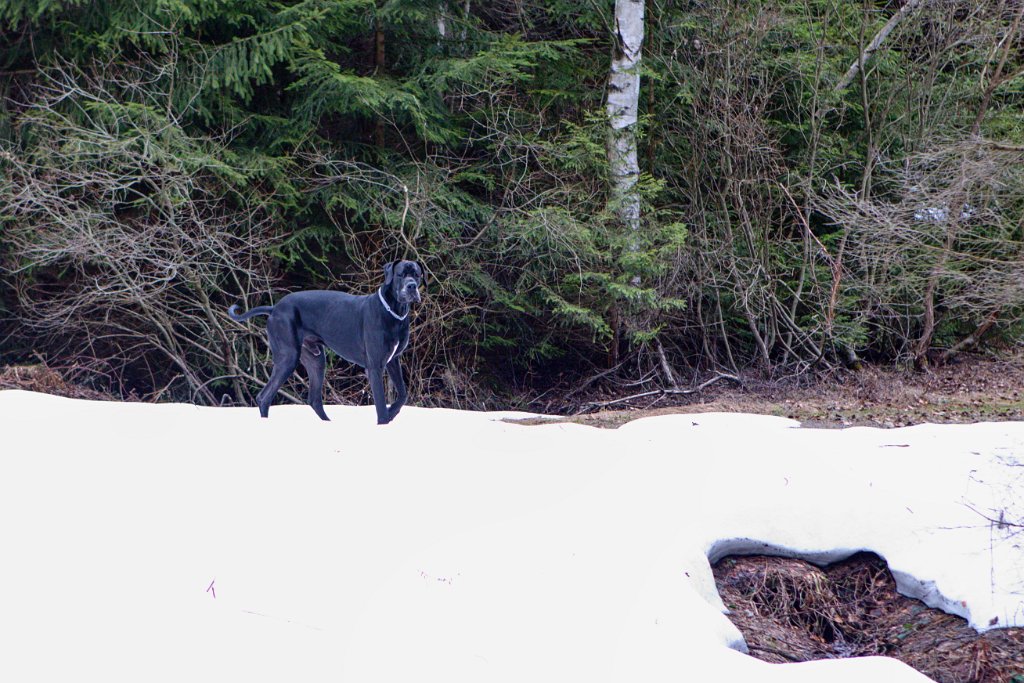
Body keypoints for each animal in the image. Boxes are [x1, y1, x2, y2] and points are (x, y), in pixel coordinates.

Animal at [229, 260, 423, 421]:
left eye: (417, 274)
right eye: (401, 274)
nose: (412, 286)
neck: (394, 312)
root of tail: (274, 308)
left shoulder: (393, 360)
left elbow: (403, 394)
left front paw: (392, 412)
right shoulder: (375, 366)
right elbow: (381, 405)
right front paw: (384, 420)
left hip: (315, 360)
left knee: (313, 399)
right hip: (288, 357)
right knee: (264, 397)